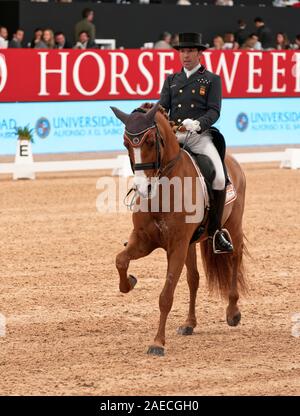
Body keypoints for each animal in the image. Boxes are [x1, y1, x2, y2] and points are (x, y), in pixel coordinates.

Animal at [111, 102, 247, 356]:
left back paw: (233, 312)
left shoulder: (176, 246)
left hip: (233, 224)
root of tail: (232, 161)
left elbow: (166, 295)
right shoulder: (144, 241)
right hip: (191, 244)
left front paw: (157, 343)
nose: (142, 188)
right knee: (193, 279)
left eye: (150, 141)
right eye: (125, 143)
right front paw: (129, 282)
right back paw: (189, 324)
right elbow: (121, 260)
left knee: (235, 258)